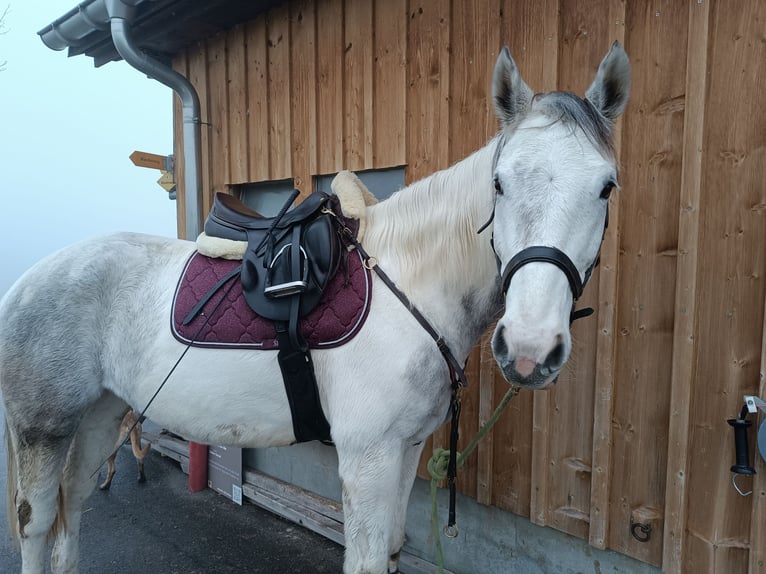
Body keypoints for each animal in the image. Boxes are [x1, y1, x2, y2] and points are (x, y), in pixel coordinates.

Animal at [0, 44, 632, 574]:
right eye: (499, 184)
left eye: (606, 187)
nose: (528, 349)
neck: (409, 285)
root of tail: (26, 281)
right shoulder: (367, 459)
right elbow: (369, 560)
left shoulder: (405, 453)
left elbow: (392, 551)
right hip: (43, 430)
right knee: (36, 524)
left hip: (102, 414)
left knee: (73, 509)